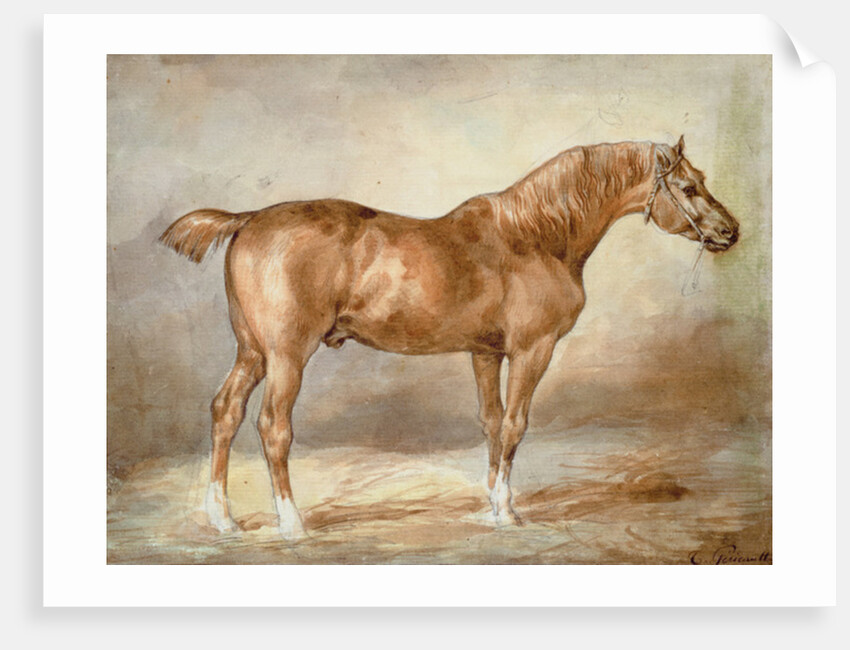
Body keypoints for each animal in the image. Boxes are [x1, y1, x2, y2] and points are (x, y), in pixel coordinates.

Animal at [160, 136, 739, 540]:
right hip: (286, 356)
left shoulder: (485, 354)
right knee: (272, 427)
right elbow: (515, 425)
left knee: (225, 413)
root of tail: (248, 219)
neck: (535, 237)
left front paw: (493, 504)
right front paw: (507, 513)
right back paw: (291, 523)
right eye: (688, 188)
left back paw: (223, 519)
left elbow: (491, 424)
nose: (730, 232)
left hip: (252, 352)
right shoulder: (532, 351)